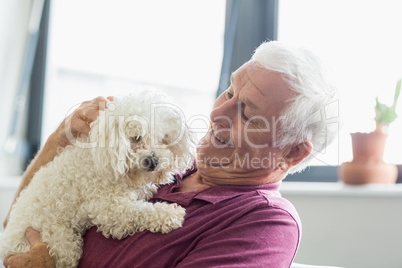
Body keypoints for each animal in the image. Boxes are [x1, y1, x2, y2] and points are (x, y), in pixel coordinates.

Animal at [0, 90, 195, 268]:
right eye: (136, 138)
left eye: (164, 139)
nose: (153, 161)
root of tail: (6, 245)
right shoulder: (111, 210)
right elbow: (141, 211)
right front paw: (170, 213)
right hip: (62, 244)